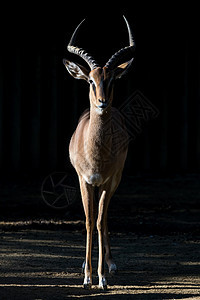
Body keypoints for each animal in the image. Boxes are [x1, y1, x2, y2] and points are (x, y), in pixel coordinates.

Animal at [62, 15, 134, 290]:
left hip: (114, 182)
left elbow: (101, 221)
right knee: (93, 219)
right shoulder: (84, 180)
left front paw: (101, 277)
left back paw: (111, 264)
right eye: (91, 80)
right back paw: (86, 264)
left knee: (105, 218)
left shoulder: (107, 181)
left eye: (112, 80)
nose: (102, 102)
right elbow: (88, 221)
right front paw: (86, 277)